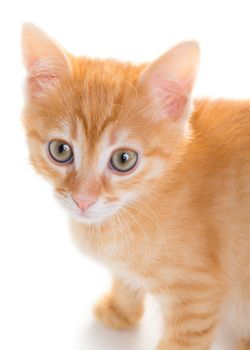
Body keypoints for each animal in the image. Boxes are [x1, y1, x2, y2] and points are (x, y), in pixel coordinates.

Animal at [21, 23, 250, 348]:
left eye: (124, 159)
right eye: (60, 150)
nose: (83, 199)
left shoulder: (198, 296)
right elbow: (124, 279)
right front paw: (120, 310)